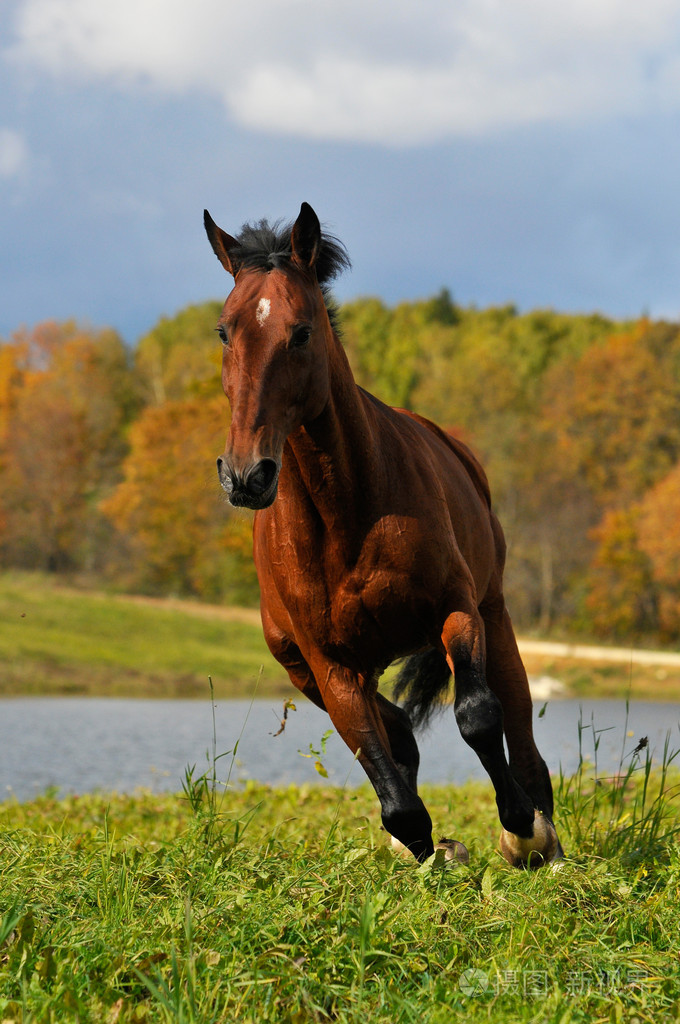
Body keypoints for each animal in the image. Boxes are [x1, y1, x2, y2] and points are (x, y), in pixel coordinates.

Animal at [204, 197, 561, 864]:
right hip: (304, 666)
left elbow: (479, 715)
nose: (246, 475)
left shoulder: (455, 609)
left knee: (518, 718)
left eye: (301, 331)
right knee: (397, 733)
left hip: (494, 613)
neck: (346, 515)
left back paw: (540, 831)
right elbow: (386, 776)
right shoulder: (330, 664)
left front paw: (520, 829)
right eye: (224, 330)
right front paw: (427, 845)